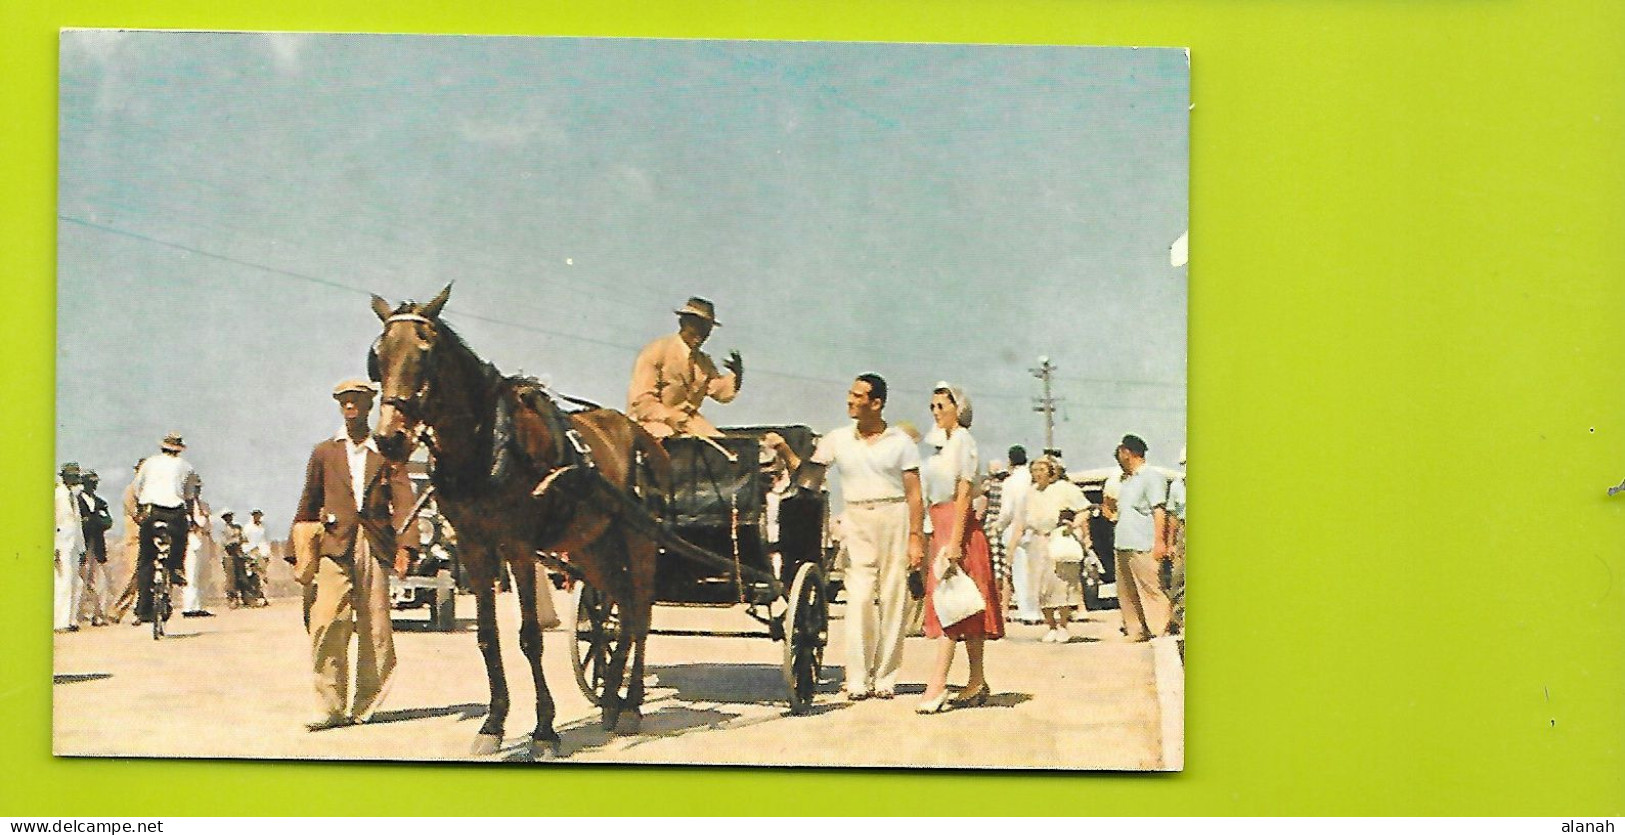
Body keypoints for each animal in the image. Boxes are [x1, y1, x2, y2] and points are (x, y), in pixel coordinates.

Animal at [370, 284, 672, 753]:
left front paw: (544, 729)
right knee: (619, 607)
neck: (487, 443)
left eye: (426, 352)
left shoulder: (518, 545)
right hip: (591, 547)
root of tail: (642, 436)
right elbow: (487, 635)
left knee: (640, 613)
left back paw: (633, 704)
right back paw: (610, 700)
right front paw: (493, 723)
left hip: (639, 542)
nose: (389, 438)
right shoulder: (474, 546)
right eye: (379, 355)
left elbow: (530, 636)